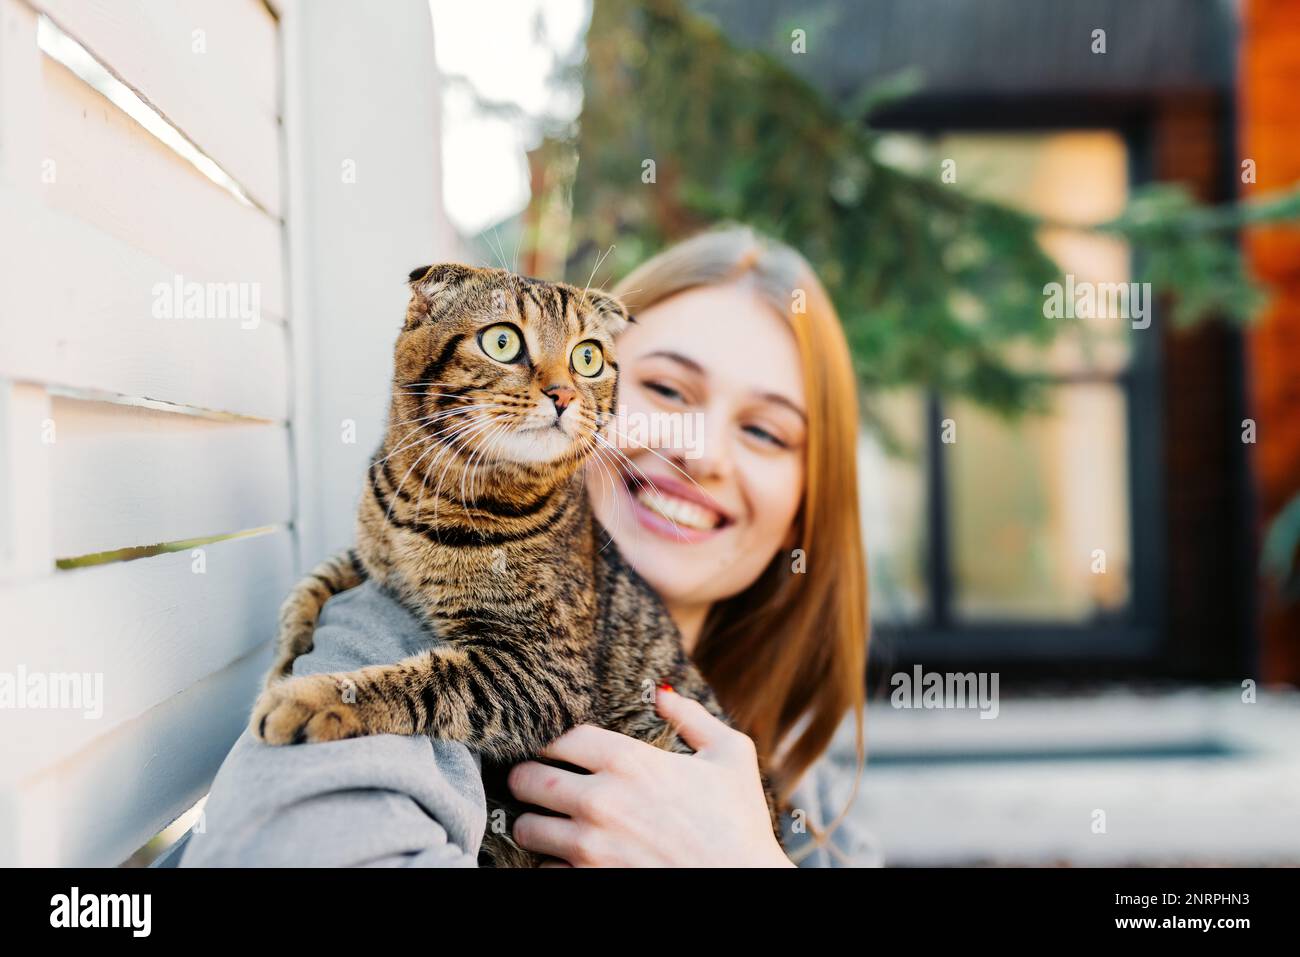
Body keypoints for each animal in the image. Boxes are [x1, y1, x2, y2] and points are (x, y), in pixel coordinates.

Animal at [250, 263, 780, 868]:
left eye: (587, 357)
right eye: (502, 342)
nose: (563, 393)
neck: (431, 497)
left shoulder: (544, 669)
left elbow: (427, 683)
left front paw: (309, 698)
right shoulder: (372, 558)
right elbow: (311, 582)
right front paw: (285, 659)